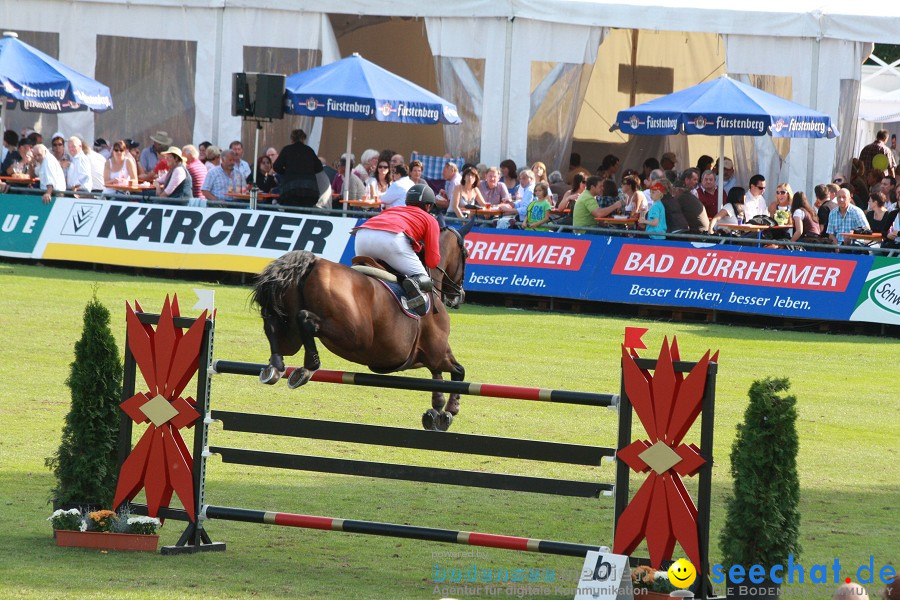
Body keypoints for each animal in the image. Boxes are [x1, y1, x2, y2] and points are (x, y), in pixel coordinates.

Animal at [248, 220, 472, 432]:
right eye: (466, 254)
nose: (459, 295)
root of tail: (313, 263)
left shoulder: (430, 356)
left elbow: (439, 377)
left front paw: (436, 411)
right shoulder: (436, 354)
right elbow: (458, 372)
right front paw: (449, 411)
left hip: (291, 334)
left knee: (273, 324)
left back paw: (276, 366)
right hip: (355, 337)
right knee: (306, 320)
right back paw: (308, 367)